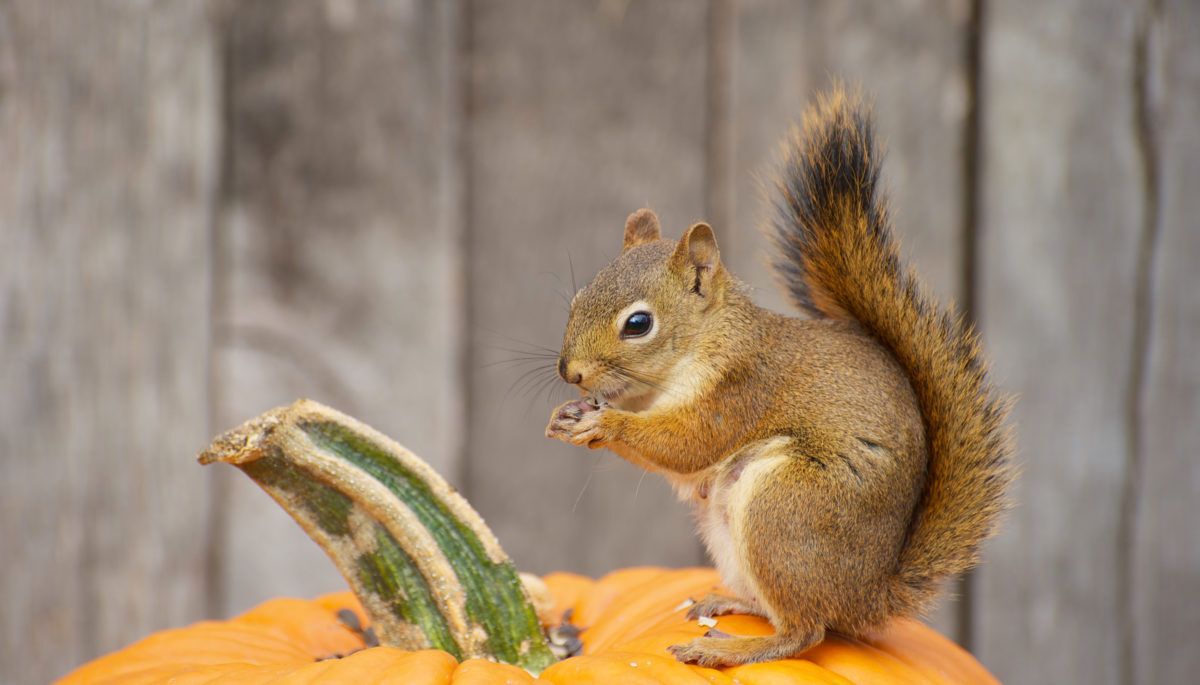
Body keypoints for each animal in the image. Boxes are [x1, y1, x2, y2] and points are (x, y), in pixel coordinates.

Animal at [544, 86, 1013, 667]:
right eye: (578, 299)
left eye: (638, 324)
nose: (570, 372)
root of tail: (868, 595)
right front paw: (568, 416)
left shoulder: (741, 388)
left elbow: (687, 445)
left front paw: (606, 426)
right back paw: (730, 600)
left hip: (786, 508)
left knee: (804, 632)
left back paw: (732, 650)